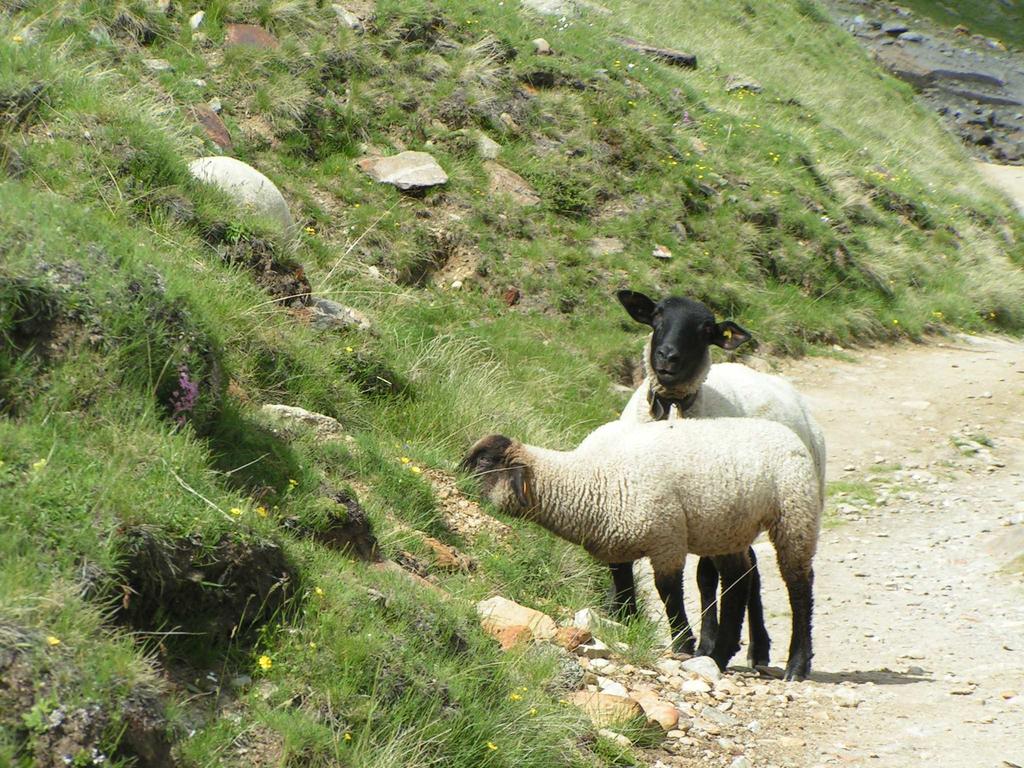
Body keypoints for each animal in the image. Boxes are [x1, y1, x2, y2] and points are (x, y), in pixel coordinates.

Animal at [464, 417, 823, 684]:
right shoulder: (617, 544)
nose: (456, 483)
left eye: (484, 463)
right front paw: (627, 626)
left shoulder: (667, 539)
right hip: (726, 527)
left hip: (795, 512)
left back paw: (796, 665)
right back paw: (719, 654)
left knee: (799, 587)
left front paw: (682, 644)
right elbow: (623, 589)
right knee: (738, 581)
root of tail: (787, 432)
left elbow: (668, 594)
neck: (587, 480)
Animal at [610, 288, 827, 667]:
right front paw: (626, 617)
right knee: (748, 570)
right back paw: (755, 648)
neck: (673, 408)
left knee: (758, 575)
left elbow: (705, 575)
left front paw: (701, 641)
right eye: (657, 316)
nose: (668, 356)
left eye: (705, 330)